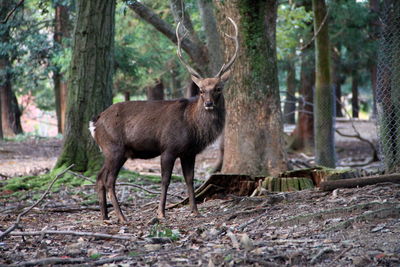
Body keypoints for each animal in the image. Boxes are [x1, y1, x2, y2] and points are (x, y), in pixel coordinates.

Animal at [90, 17, 238, 224]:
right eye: (201, 90)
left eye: (218, 88)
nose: (208, 103)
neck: (192, 126)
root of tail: (95, 123)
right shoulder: (169, 147)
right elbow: (165, 180)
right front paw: (161, 213)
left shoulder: (189, 152)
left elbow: (190, 179)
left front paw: (195, 211)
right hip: (114, 147)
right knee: (109, 180)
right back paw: (122, 217)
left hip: (112, 151)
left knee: (99, 177)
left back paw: (105, 216)